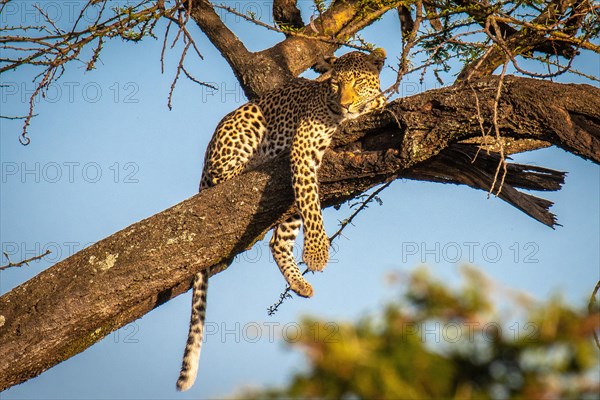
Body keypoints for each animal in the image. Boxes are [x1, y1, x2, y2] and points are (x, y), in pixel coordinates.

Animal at [176, 47, 386, 390]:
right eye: (336, 84)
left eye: (357, 82)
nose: (344, 104)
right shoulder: (304, 147)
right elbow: (312, 206)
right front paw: (317, 254)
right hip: (245, 126)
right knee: (224, 176)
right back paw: (253, 163)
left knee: (277, 240)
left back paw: (299, 284)